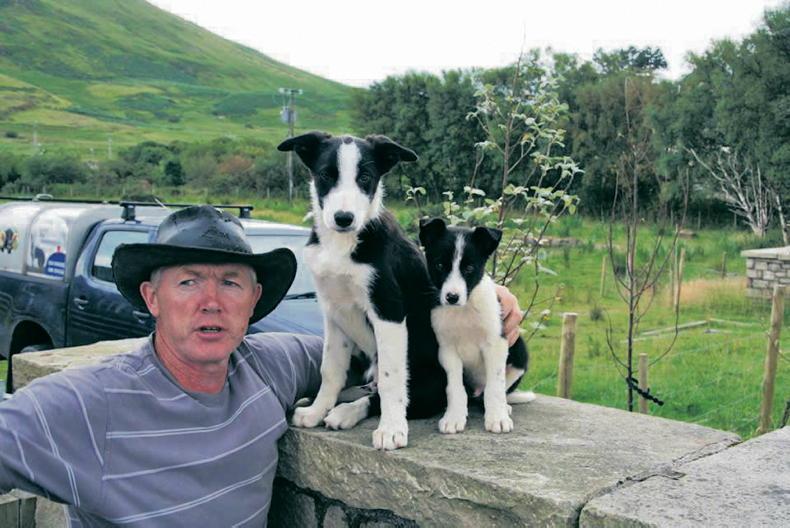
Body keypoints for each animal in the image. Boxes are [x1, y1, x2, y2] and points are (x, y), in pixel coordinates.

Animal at [277, 132, 448, 450]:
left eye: (365, 178)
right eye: (326, 175)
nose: (344, 218)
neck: (342, 243)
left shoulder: (388, 310)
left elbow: (393, 379)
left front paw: (392, 430)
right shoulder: (333, 312)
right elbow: (330, 368)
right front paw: (317, 410)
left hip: (431, 381)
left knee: (388, 396)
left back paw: (346, 413)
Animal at [419, 218, 533, 434]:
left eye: (469, 268)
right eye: (439, 265)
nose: (452, 297)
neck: (464, 310)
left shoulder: (496, 344)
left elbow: (495, 386)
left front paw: (497, 418)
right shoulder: (447, 350)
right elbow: (455, 388)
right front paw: (454, 417)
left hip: (519, 352)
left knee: (493, 390)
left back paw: (503, 406)